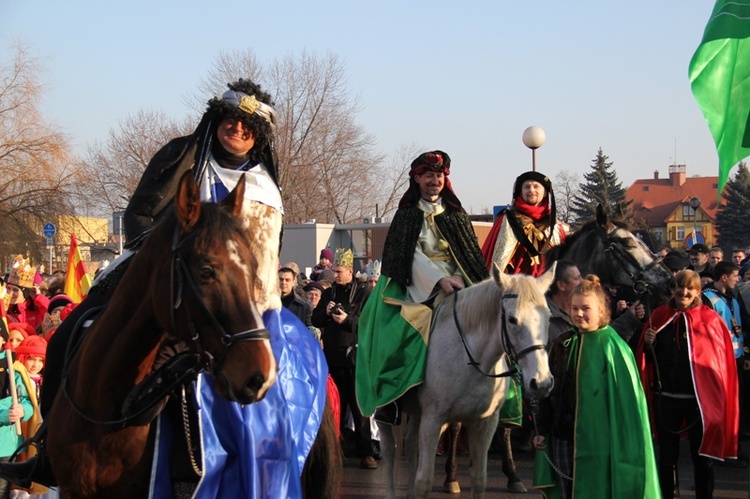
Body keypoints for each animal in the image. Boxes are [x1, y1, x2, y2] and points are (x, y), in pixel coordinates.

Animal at [378, 264, 556, 498]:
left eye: (549, 318)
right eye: (511, 319)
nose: (542, 383)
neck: (473, 360)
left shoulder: (485, 422)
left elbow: (479, 480)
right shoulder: (433, 419)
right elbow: (424, 482)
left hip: (417, 412)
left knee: (410, 445)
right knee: (389, 450)